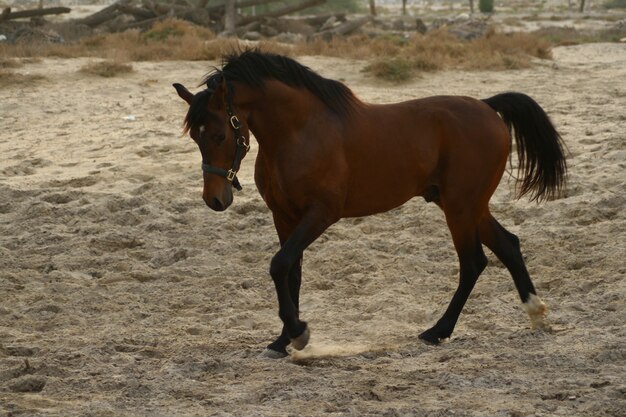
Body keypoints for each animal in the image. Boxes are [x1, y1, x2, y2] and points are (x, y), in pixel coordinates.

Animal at [172, 49, 564, 358]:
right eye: (194, 137)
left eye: (219, 134)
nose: (215, 199)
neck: (300, 132)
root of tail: (486, 106)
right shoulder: (283, 216)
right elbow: (291, 271)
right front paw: (282, 340)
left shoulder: (321, 213)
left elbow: (279, 264)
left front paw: (299, 334)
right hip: (466, 205)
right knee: (508, 245)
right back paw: (536, 313)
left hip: (460, 207)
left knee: (473, 262)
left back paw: (437, 331)